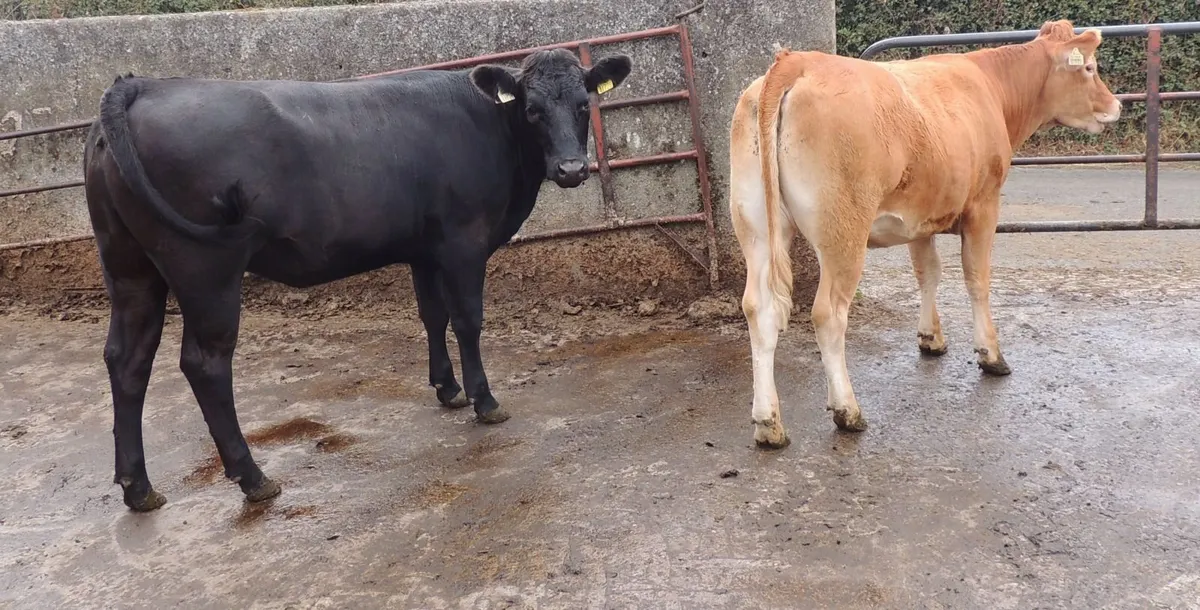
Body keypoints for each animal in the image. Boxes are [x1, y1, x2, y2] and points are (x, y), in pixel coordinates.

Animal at [83, 48, 632, 511]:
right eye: (532, 109)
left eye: (582, 105)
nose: (571, 169)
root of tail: (138, 85)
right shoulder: (463, 243)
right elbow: (467, 320)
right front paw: (484, 400)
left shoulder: (423, 250)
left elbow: (432, 316)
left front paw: (447, 388)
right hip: (205, 268)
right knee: (205, 363)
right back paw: (252, 477)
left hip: (129, 267)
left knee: (127, 359)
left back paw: (138, 487)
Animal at [728, 19, 1120, 447]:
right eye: (1089, 68)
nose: (1116, 105)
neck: (991, 87)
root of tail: (796, 60)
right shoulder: (984, 204)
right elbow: (977, 279)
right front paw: (991, 354)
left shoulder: (919, 217)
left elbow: (928, 273)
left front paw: (931, 338)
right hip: (843, 232)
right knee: (828, 314)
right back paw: (847, 410)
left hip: (755, 227)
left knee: (758, 308)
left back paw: (768, 423)